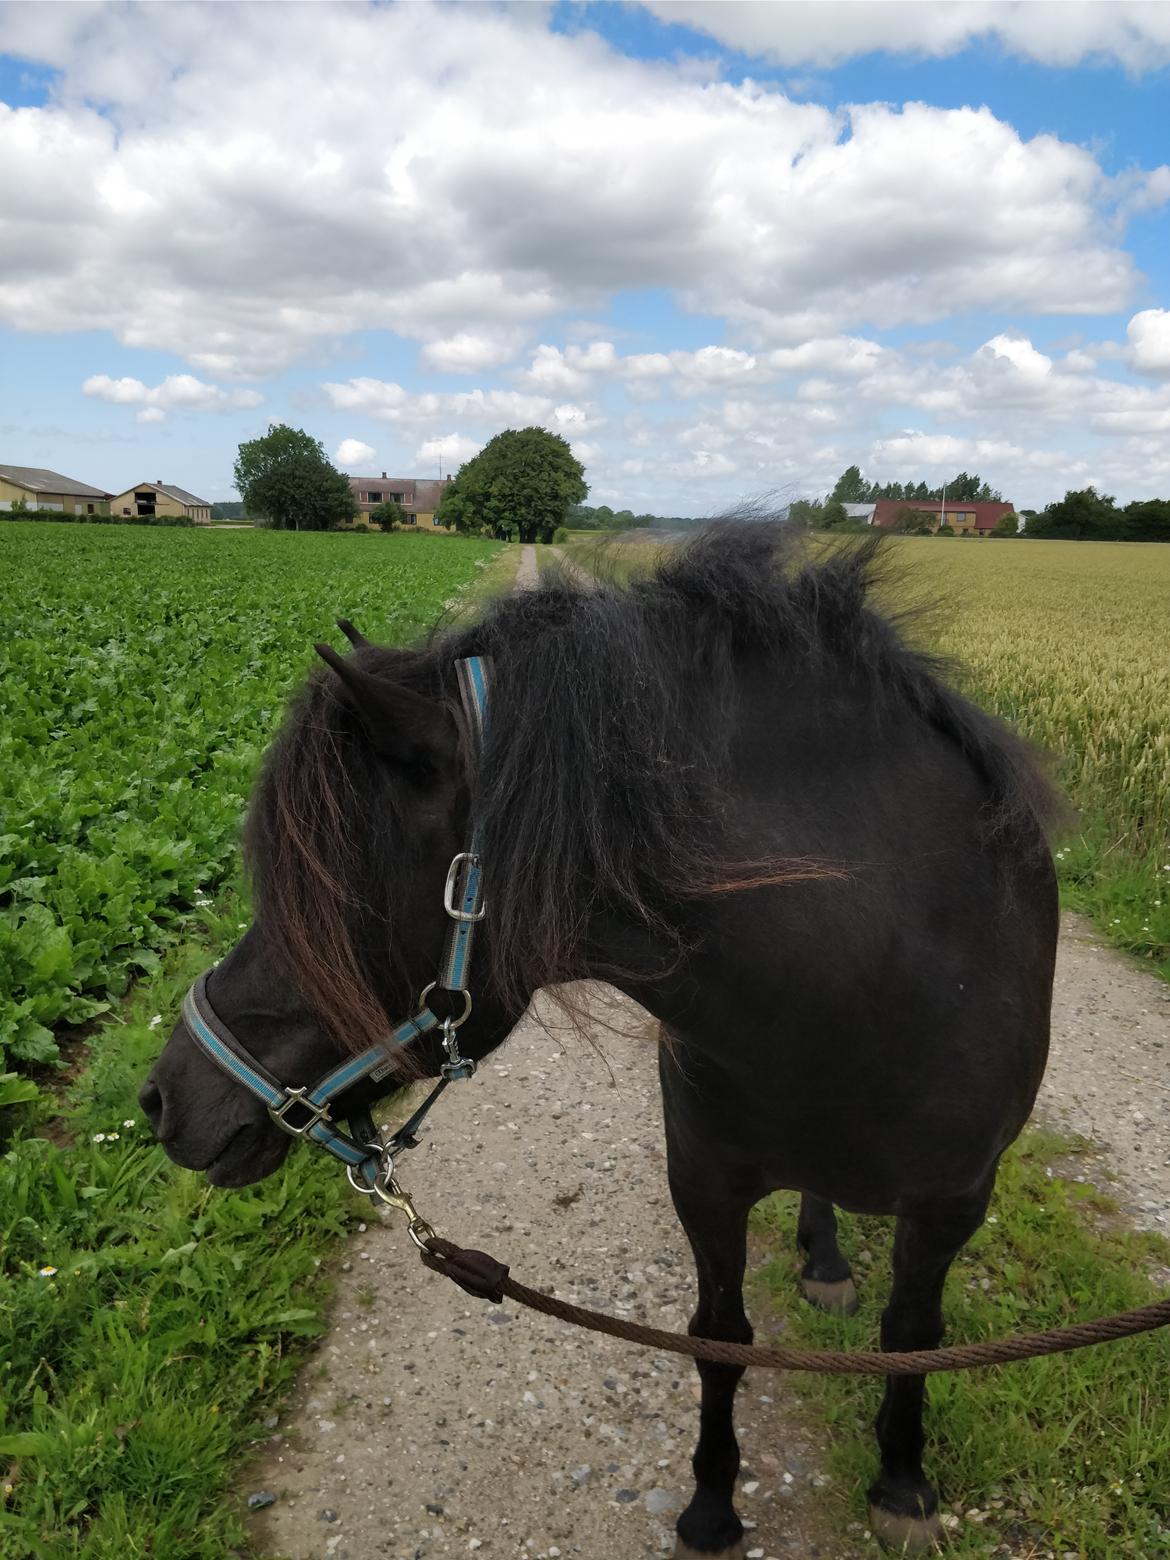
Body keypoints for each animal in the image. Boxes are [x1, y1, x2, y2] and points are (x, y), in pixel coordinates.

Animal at [139, 530, 1060, 1553]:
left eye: (322, 898)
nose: (164, 1097)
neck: (875, 974)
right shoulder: (704, 1180)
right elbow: (718, 1337)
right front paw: (711, 1505)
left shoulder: (952, 1203)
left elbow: (911, 1338)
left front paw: (900, 1484)